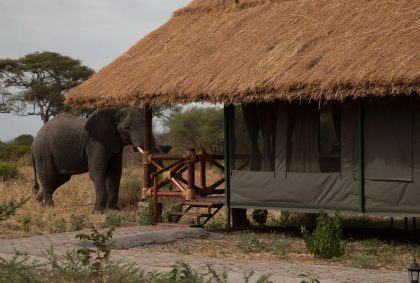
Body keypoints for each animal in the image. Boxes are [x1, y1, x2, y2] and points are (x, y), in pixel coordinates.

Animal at [30, 108, 162, 213]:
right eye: (127, 128)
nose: (145, 199)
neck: (114, 112)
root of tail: (35, 139)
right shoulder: (95, 143)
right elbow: (98, 172)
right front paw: (99, 212)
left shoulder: (115, 143)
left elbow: (115, 173)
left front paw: (114, 210)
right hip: (43, 151)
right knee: (49, 177)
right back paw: (48, 207)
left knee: (60, 179)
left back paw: (39, 201)